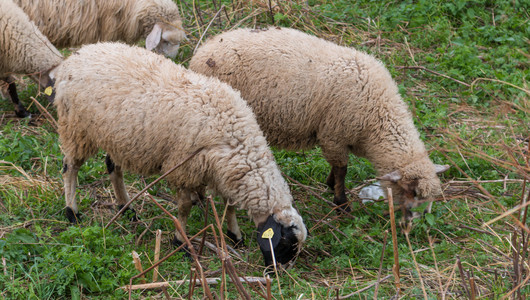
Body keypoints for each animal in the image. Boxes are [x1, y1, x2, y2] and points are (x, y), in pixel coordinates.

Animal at [51, 42, 308, 268]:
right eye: (285, 243)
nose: (277, 271)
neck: (237, 139)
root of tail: (76, 56)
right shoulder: (185, 168)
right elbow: (184, 207)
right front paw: (180, 242)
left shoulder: (223, 172)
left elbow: (230, 206)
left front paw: (234, 235)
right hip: (76, 127)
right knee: (70, 168)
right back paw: (72, 212)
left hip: (118, 137)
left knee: (113, 167)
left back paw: (126, 208)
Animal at [190, 27, 446, 220]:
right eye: (412, 194)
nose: (415, 226)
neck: (378, 117)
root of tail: (202, 52)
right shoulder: (334, 135)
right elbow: (342, 169)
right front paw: (341, 204)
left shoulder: (337, 137)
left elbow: (338, 168)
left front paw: (330, 185)